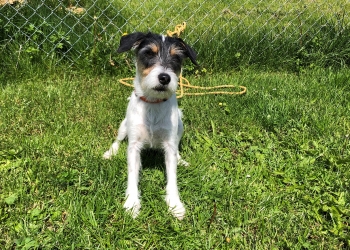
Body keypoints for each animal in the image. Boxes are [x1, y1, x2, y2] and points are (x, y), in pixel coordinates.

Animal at [103, 31, 197, 219]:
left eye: (176, 58)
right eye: (148, 53)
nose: (165, 78)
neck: (153, 104)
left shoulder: (169, 144)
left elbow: (172, 176)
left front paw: (175, 204)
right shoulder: (134, 146)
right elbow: (132, 175)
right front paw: (132, 203)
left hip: (180, 125)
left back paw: (181, 159)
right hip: (124, 126)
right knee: (117, 140)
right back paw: (110, 152)